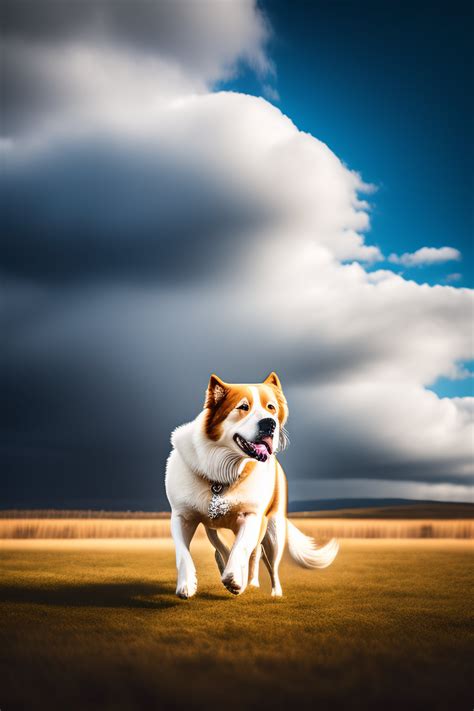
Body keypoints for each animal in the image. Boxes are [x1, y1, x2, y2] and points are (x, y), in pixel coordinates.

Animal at [165, 376, 338, 596]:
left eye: (271, 407)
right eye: (243, 407)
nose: (270, 423)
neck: (221, 474)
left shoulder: (251, 517)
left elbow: (241, 549)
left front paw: (234, 579)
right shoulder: (183, 516)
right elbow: (183, 552)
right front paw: (186, 585)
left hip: (273, 531)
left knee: (266, 560)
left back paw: (270, 590)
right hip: (216, 529)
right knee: (226, 549)